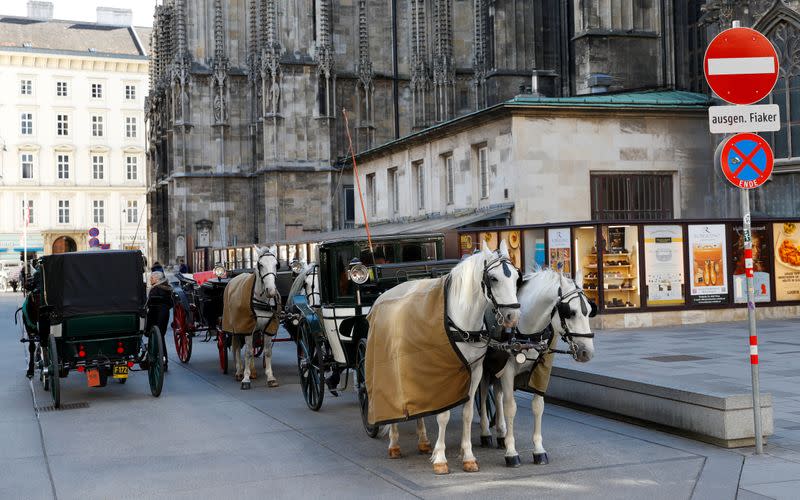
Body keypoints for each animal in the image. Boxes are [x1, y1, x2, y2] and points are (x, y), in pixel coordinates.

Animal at [230, 246, 280, 390]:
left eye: (276, 265)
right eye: (260, 265)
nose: (271, 291)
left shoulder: (267, 327)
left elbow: (267, 352)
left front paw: (270, 377)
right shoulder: (246, 327)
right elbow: (247, 352)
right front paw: (245, 379)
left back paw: (252, 371)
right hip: (236, 327)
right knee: (236, 347)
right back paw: (239, 371)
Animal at [384, 240, 520, 474]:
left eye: (516, 277)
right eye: (493, 278)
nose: (513, 316)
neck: (462, 322)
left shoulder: (474, 371)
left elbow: (467, 412)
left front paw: (468, 456)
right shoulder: (443, 371)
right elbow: (443, 414)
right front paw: (440, 458)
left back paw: (423, 441)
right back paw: (394, 443)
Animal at [478, 272, 596, 466]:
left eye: (589, 311)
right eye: (570, 312)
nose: (587, 352)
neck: (527, 331)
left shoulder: (542, 369)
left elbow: (538, 406)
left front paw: (538, 450)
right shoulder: (507, 370)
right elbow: (511, 407)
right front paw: (512, 452)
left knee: (497, 393)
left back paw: (501, 433)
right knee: (481, 392)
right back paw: (486, 432)